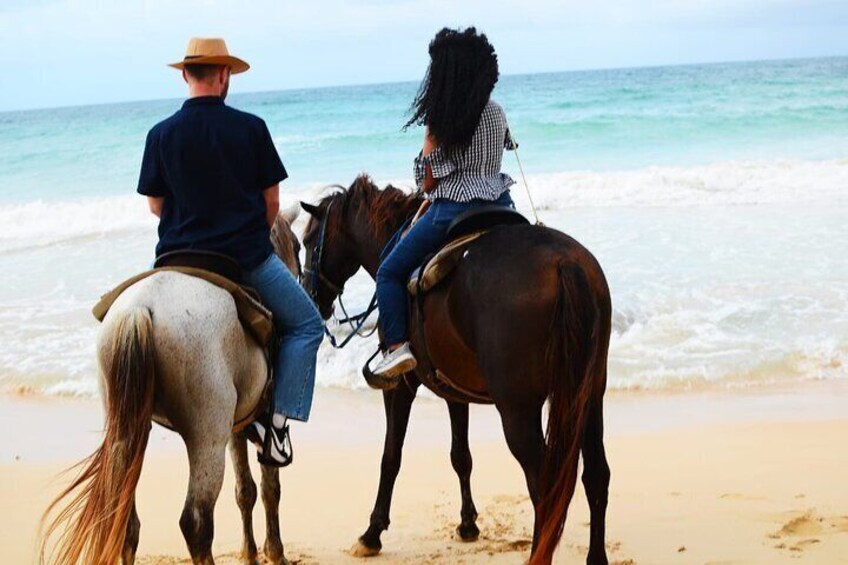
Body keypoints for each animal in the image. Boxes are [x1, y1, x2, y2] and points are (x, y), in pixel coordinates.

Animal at [43, 208, 304, 564]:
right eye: (298, 246)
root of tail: (140, 309)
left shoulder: (237, 424)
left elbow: (246, 491)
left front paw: (249, 553)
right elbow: (268, 488)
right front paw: (274, 553)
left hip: (127, 431)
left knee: (124, 521)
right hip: (206, 438)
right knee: (196, 522)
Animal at [302, 174, 612, 560]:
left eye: (307, 240)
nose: (308, 292)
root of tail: (565, 263)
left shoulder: (401, 387)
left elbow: (391, 457)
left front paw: (372, 533)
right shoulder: (454, 389)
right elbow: (460, 456)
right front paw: (468, 524)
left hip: (518, 409)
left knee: (545, 485)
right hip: (589, 394)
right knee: (596, 475)